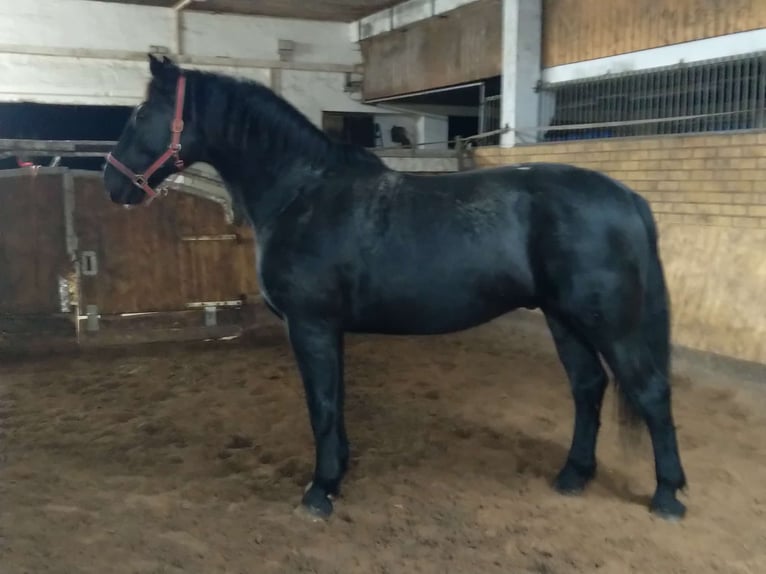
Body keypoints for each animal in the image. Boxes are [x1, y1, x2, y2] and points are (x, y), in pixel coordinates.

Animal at [100, 56, 688, 524]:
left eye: (141, 114)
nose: (113, 183)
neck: (302, 192)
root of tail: (627, 196)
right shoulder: (328, 329)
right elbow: (334, 402)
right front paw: (337, 475)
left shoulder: (310, 325)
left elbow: (322, 406)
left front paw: (319, 492)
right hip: (563, 318)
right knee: (588, 387)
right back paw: (572, 476)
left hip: (609, 322)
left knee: (651, 392)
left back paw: (668, 497)